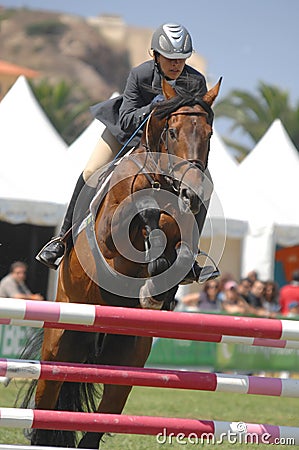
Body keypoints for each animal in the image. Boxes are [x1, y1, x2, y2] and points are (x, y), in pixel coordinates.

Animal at [21, 77, 223, 446]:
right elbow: (141, 213)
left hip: (126, 365)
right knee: (46, 410)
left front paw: (157, 288)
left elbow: (179, 251)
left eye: (210, 133)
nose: (192, 191)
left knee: (95, 429)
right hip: (59, 350)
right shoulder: (109, 233)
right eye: (172, 132)